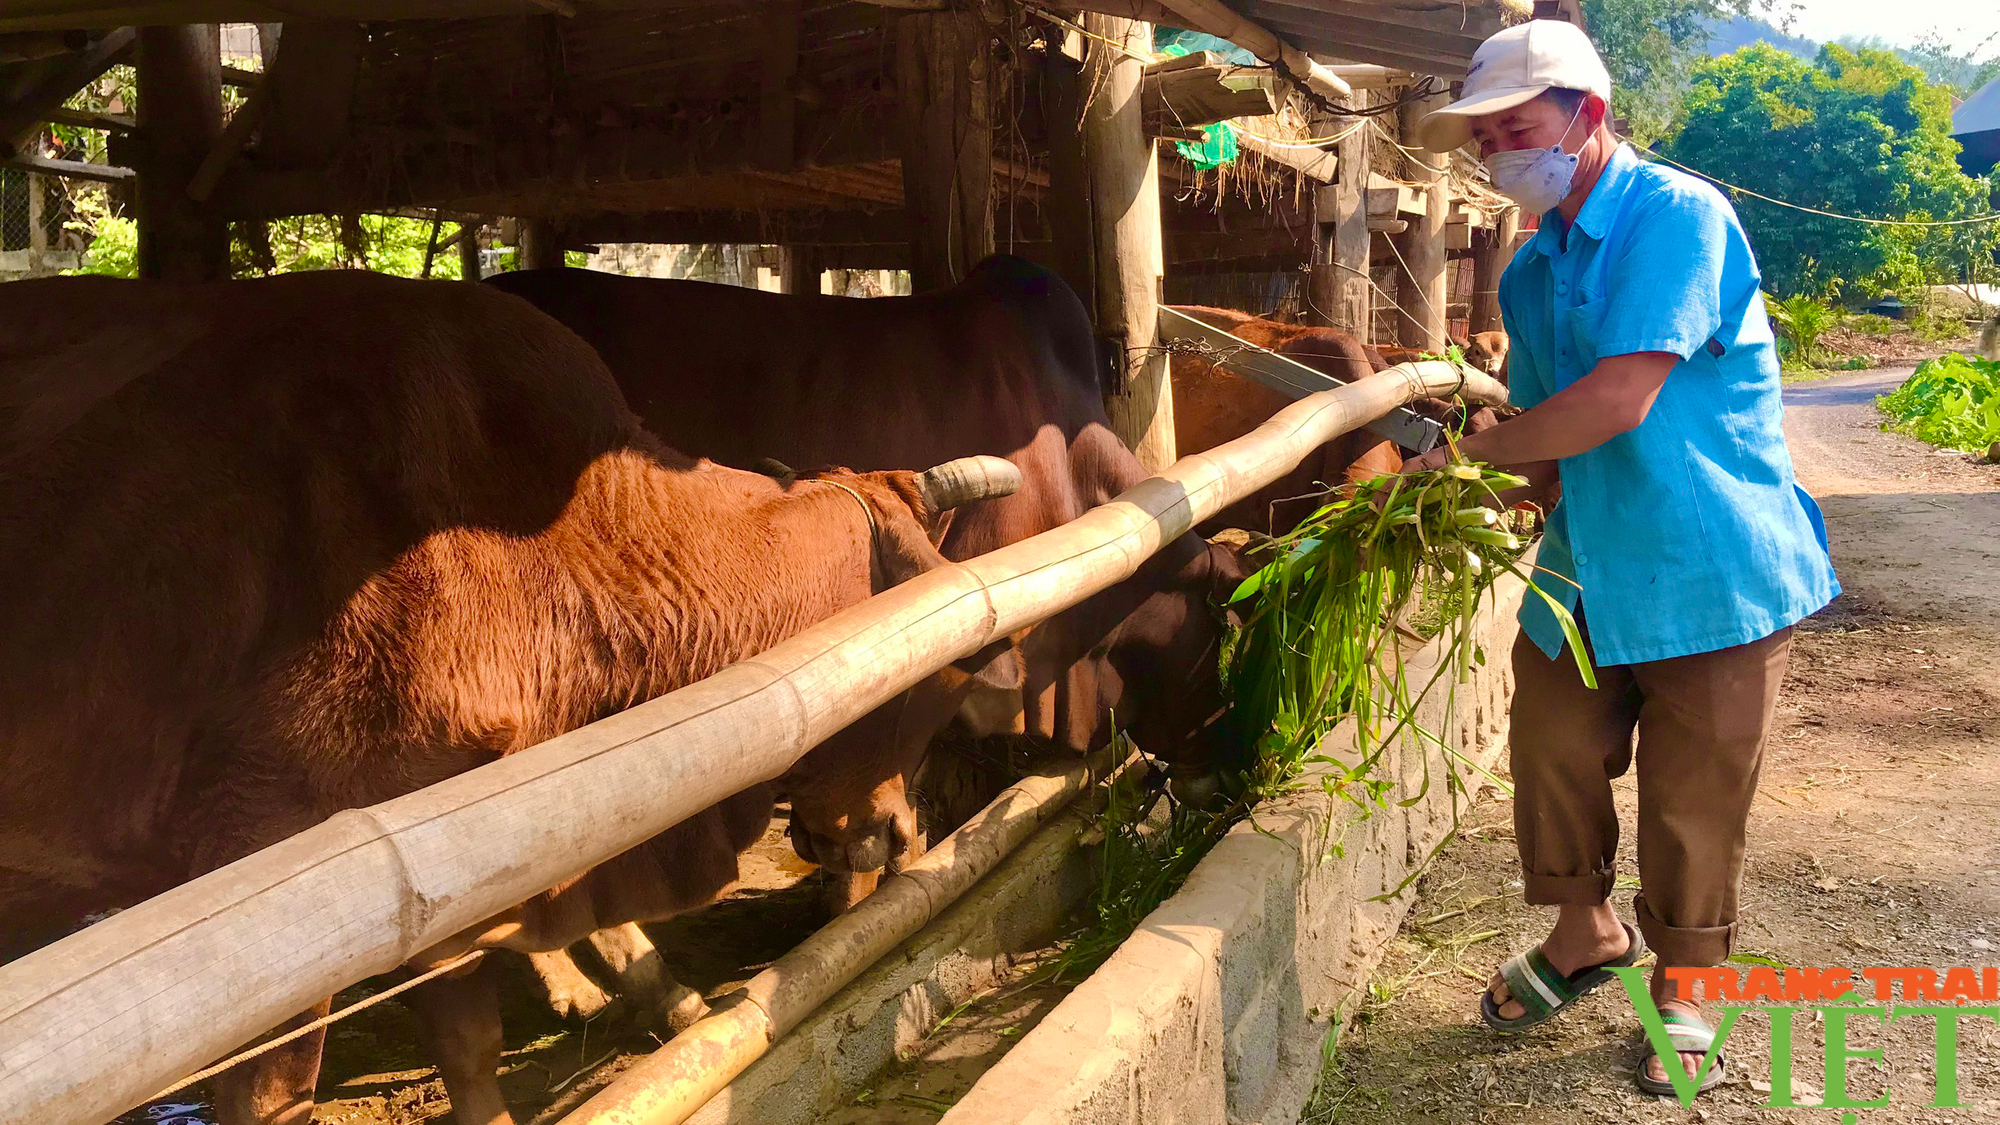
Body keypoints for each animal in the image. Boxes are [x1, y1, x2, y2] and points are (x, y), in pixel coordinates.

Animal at [3, 274, 1016, 1120]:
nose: (895, 831)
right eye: (936, 670)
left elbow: (472, 1042)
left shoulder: (463, 861)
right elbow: (276, 1096)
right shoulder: (275, 874)